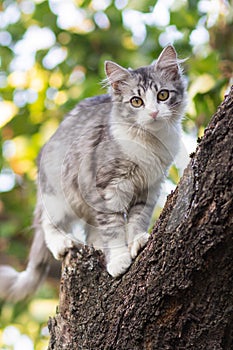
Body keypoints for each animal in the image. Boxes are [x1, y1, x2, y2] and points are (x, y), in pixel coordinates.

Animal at [0, 44, 187, 300]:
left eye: (163, 96)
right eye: (136, 101)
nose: (153, 113)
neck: (149, 143)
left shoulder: (149, 186)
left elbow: (137, 219)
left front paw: (136, 241)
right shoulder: (108, 186)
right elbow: (113, 229)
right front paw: (118, 259)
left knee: (92, 231)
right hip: (58, 196)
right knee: (47, 224)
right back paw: (62, 243)